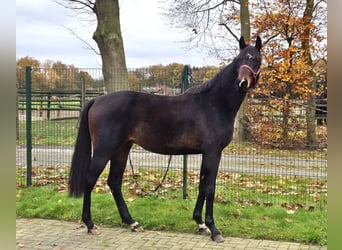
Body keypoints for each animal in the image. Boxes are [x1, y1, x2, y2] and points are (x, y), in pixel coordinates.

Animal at [69, 36, 262, 243]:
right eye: (239, 59)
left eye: (257, 60)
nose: (242, 83)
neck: (214, 103)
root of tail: (97, 100)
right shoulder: (213, 152)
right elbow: (210, 187)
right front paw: (214, 229)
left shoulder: (207, 153)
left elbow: (202, 186)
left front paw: (201, 224)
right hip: (104, 150)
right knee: (90, 179)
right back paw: (90, 224)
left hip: (122, 149)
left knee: (114, 182)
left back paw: (132, 222)